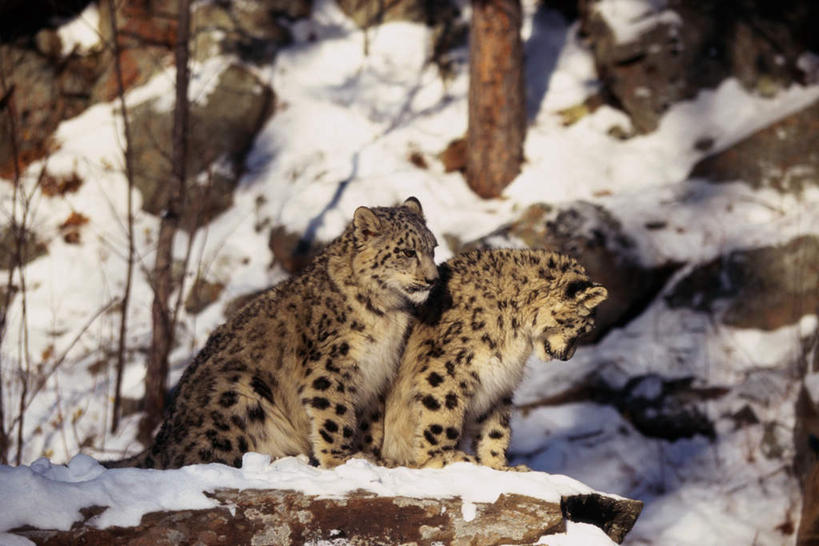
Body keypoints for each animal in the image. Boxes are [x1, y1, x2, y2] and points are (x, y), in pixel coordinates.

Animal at [109, 196, 442, 468]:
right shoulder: (330, 366)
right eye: (407, 251)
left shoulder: (378, 375)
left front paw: (372, 455)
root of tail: (161, 439)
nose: (433, 279)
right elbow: (335, 415)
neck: (389, 313)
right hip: (239, 394)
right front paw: (341, 460)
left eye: (433, 248)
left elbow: (368, 422)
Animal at [374, 246, 604, 468]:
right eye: (583, 329)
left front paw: (498, 466)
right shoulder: (447, 370)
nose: (567, 357)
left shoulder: (497, 382)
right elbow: (442, 417)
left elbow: (496, 428)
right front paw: (440, 458)